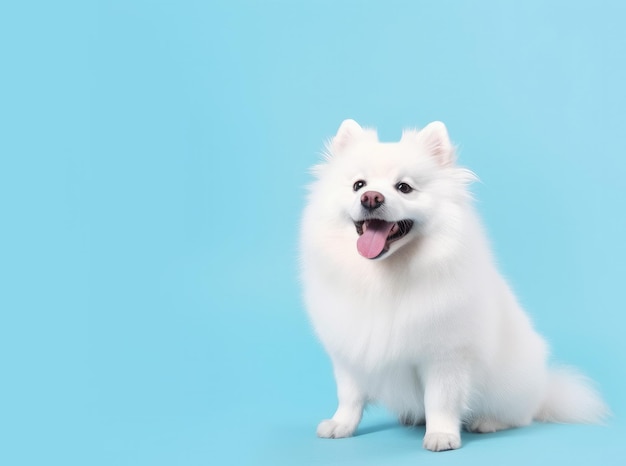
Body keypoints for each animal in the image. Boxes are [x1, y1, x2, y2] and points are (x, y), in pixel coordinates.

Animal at [300, 120, 608, 452]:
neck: (384, 277)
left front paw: (441, 435)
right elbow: (350, 397)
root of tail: (543, 391)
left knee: (519, 417)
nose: (371, 197)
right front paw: (341, 426)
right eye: (358, 185)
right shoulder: (350, 353)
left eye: (404, 187)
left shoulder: (446, 357)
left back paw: (488, 422)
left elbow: (440, 400)